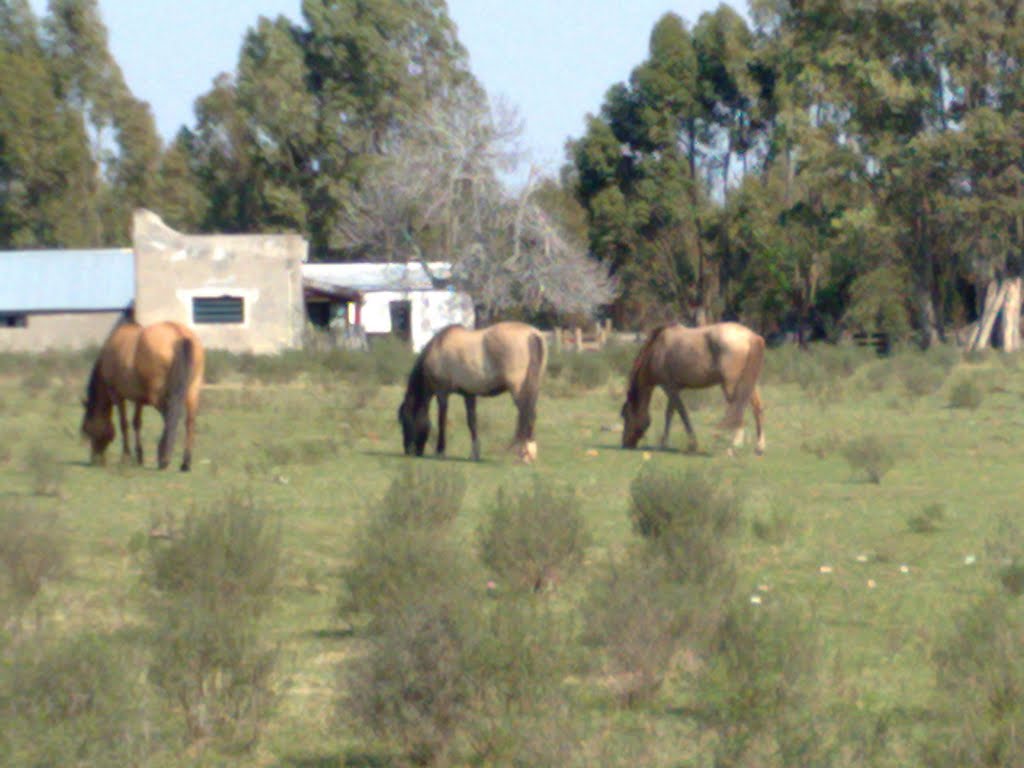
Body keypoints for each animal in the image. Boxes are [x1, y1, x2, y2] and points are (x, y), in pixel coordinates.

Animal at [80, 319, 204, 475]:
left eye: (87, 429)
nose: (95, 460)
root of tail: (179, 333)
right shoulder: (139, 399)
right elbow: (137, 423)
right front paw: (139, 456)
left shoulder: (118, 395)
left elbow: (124, 424)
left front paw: (126, 456)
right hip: (193, 391)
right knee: (189, 422)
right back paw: (185, 463)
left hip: (157, 396)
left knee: (169, 417)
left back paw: (163, 456)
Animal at [397, 319, 548, 462]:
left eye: (406, 421)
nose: (408, 451)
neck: (439, 346)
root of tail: (532, 334)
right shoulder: (469, 394)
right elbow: (472, 422)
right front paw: (474, 454)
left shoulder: (442, 393)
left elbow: (442, 420)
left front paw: (440, 451)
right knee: (530, 413)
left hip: (518, 390)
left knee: (528, 414)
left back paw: (526, 455)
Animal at [618, 321, 765, 454]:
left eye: (626, 415)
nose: (625, 444)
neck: (657, 349)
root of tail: (751, 336)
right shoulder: (675, 388)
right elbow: (673, 412)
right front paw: (671, 443)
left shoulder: (669, 388)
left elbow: (679, 413)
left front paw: (683, 444)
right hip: (748, 385)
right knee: (757, 408)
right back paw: (759, 447)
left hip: (732, 386)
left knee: (738, 410)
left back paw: (733, 446)